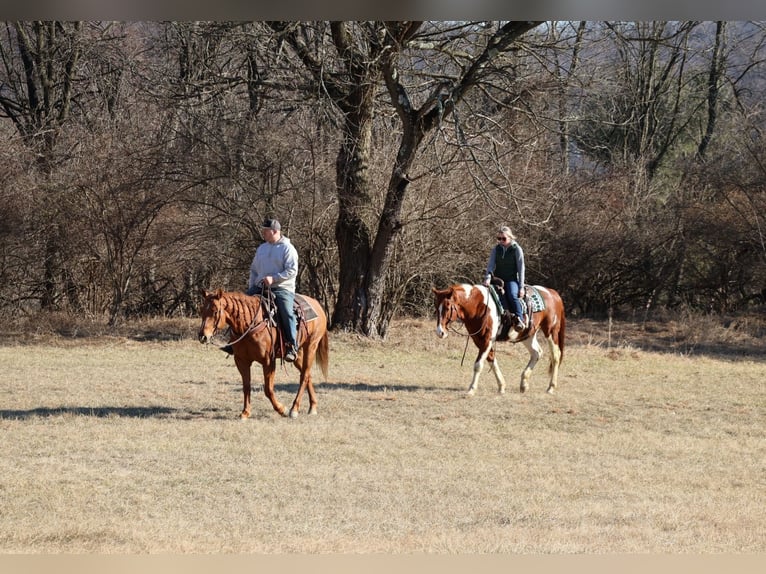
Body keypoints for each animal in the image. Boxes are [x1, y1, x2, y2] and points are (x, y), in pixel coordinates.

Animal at [198, 290, 330, 420]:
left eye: (215, 311)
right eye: (202, 310)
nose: (203, 336)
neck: (251, 324)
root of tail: (317, 305)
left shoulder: (268, 362)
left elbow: (268, 389)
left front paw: (282, 409)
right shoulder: (241, 361)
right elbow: (246, 386)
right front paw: (245, 412)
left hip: (311, 346)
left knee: (304, 376)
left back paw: (294, 409)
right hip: (297, 355)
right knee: (307, 374)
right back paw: (313, 406)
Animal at [436, 284, 568, 396]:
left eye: (448, 307)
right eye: (437, 308)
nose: (440, 332)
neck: (478, 306)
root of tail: (553, 293)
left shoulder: (487, 339)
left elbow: (478, 364)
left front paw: (471, 389)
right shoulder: (479, 340)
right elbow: (492, 361)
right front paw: (501, 386)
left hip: (551, 332)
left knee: (555, 356)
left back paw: (551, 387)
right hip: (528, 335)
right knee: (537, 353)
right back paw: (524, 384)